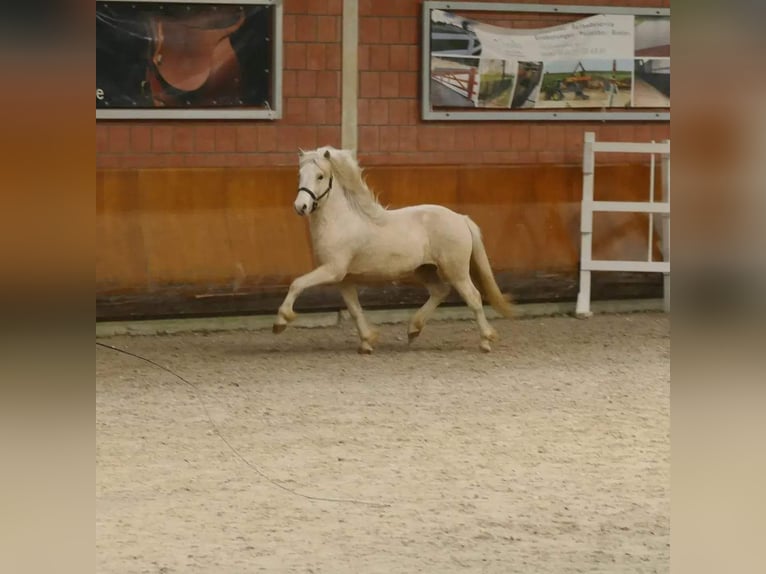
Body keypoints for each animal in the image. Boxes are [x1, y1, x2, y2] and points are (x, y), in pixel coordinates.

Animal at [273, 146, 513, 353]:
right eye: (300, 175)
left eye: (320, 176)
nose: (300, 207)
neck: (341, 221)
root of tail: (461, 219)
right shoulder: (344, 279)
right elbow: (354, 309)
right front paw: (367, 342)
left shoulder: (332, 270)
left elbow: (297, 284)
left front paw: (281, 322)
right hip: (424, 269)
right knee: (440, 291)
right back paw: (413, 330)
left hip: (456, 271)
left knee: (473, 297)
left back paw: (485, 341)